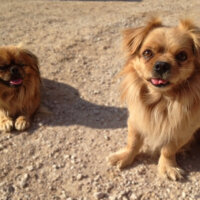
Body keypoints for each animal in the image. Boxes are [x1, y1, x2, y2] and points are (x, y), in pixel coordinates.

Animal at [108, 18, 200, 180]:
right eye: (147, 53)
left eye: (182, 56)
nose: (162, 65)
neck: (161, 100)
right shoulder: (136, 120)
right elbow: (133, 142)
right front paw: (125, 157)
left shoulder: (182, 129)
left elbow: (168, 150)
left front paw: (167, 167)